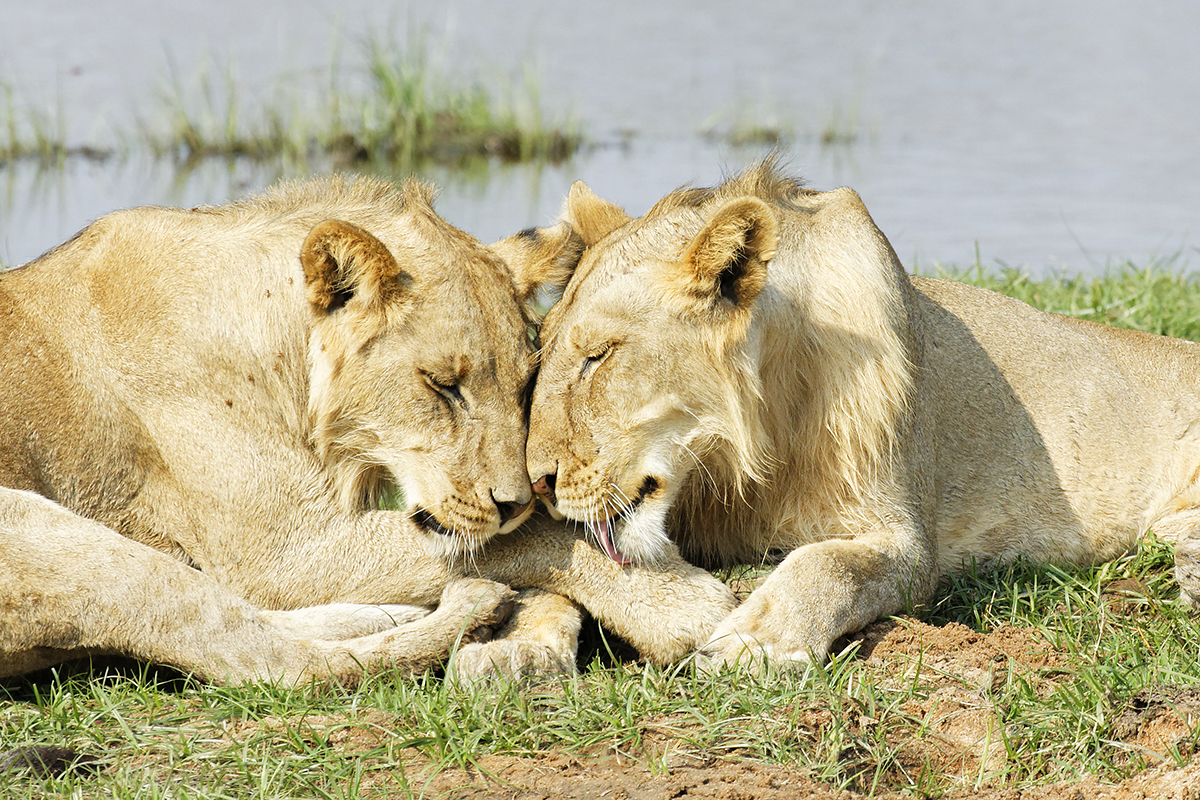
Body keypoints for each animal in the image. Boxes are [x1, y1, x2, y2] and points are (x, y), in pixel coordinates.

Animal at [0, 176, 729, 690]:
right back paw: (468, 606)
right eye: (442, 384)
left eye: (527, 382)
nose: (513, 501)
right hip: (34, 527)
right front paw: (680, 602)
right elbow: (539, 536)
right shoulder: (282, 554)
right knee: (272, 661)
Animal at [528, 158, 1200, 671]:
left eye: (598, 355)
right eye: (544, 351)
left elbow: (829, 564)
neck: (760, 440)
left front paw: (756, 641)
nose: (538, 483)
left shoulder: (908, 543)